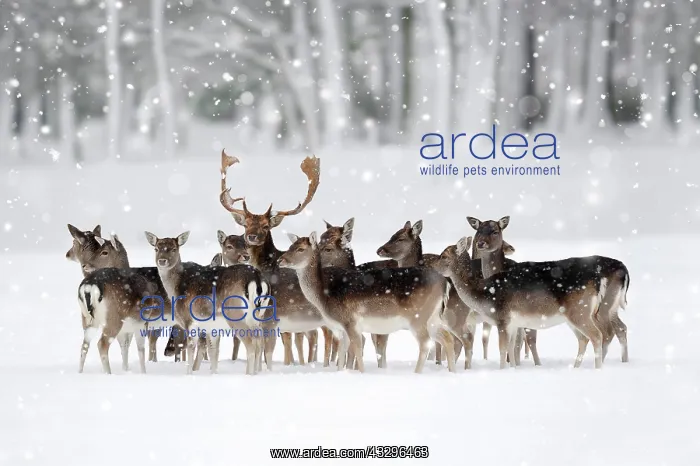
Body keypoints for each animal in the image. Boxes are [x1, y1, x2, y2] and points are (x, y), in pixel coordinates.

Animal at [144, 231, 270, 375]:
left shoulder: (189, 320)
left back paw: (249, 374)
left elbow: (191, 348)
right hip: (258, 315)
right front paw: (213, 373)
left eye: (174, 249)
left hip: (235, 314)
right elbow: (213, 350)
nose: (162, 261)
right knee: (260, 342)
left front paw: (189, 373)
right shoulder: (212, 326)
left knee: (251, 344)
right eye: (156, 248)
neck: (175, 290)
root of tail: (257, 279)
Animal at [278, 232, 457, 373]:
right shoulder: (341, 328)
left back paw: (417, 373)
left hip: (418, 316)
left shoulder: (351, 321)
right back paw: (452, 372)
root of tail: (444, 282)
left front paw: (361, 373)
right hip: (434, 318)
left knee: (426, 343)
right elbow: (342, 351)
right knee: (447, 338)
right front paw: (340, 372)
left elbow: (357, 348)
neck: (324, 297)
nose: (280, 260)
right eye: (290, 246)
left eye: (300, 249)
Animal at [435, 237, 612, 369]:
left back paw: (597, 369)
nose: (433, 267)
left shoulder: (502, 318)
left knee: (597, 335)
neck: (483, 295)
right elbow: (512, 349)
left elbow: (503, 349)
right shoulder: (513, 323)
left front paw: (502, 370)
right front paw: (513, 369)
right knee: (583, 339)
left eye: (444, 256)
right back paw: (576, 367)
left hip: (580, 311)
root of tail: (599, 280)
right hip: (574, 316)